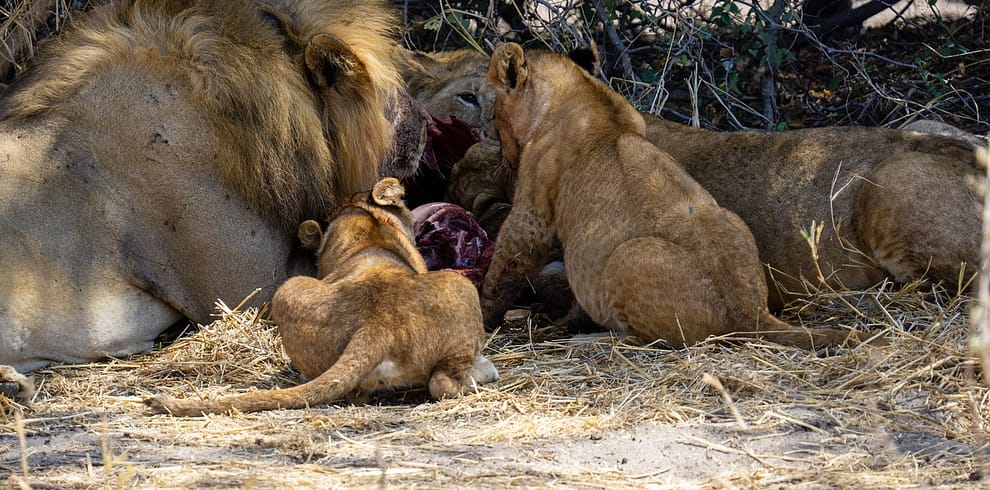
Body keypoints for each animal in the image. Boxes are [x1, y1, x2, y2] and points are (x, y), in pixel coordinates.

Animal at [147, 178, 500, 416]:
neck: (367, 230)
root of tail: (376, 326)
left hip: (288, 291)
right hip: (461, 287)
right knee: (442, 383)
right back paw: (484, 371)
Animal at [484, 43, 856, 348]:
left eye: (492, 116)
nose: (501, 156)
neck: (581, 91)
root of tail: (751, 313)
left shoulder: (533, 214)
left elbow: (505, 265)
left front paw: (487, 316)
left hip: (627, 256)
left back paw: (596, 339)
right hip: (732, 219)